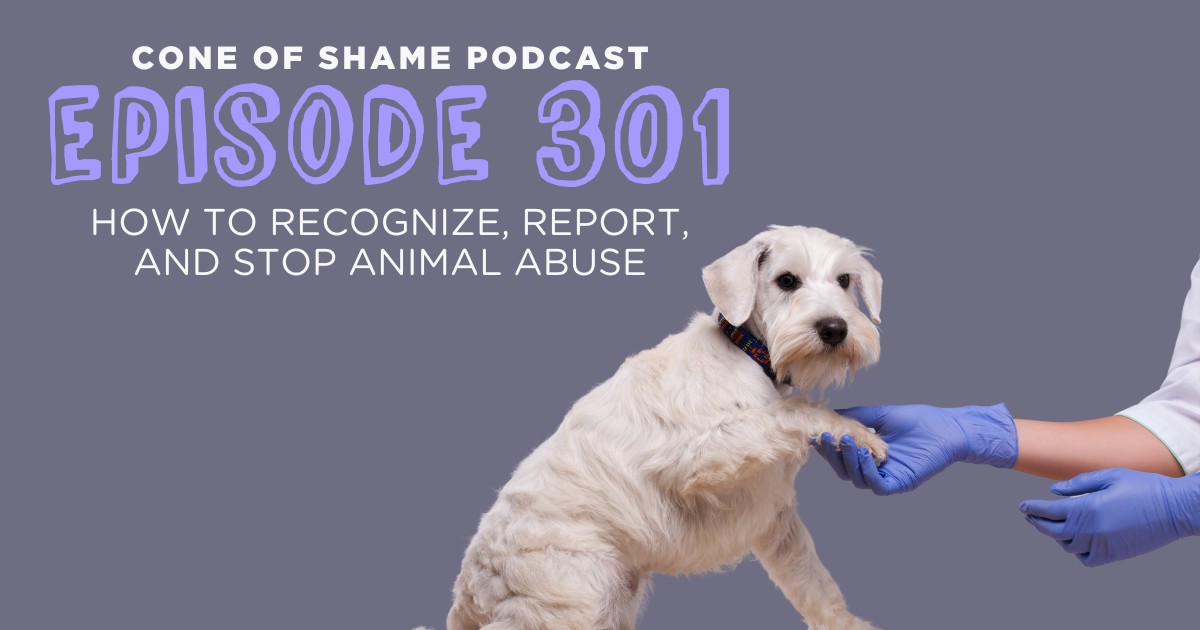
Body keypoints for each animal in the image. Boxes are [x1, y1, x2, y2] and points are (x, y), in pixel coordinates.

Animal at [436, 225, 888, 628]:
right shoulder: (703, 455)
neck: (749, 354)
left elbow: (815, 585)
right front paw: (857, 432)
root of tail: (467, 595)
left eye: (845, 280)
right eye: (787, 280)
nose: (834, 329)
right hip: (575, 597)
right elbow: (795, 410)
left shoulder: (777, 520)